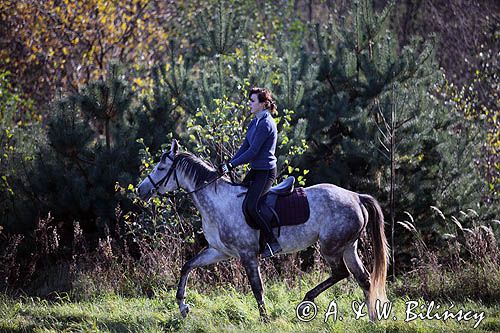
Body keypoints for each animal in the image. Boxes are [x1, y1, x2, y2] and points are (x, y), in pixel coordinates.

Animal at [138, 139, 390, 320]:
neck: (218, 201)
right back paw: (372, 319)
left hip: (330, 247)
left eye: (161, 167)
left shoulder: (248, 255)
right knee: (364, 279)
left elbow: (257, 288)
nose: (141, 190)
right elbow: (187, 266)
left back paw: (306, 301)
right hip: (349, 247)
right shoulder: (218, 251)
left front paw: (264, 319)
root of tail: (356, 196)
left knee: (341, 274)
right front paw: (183, 307)